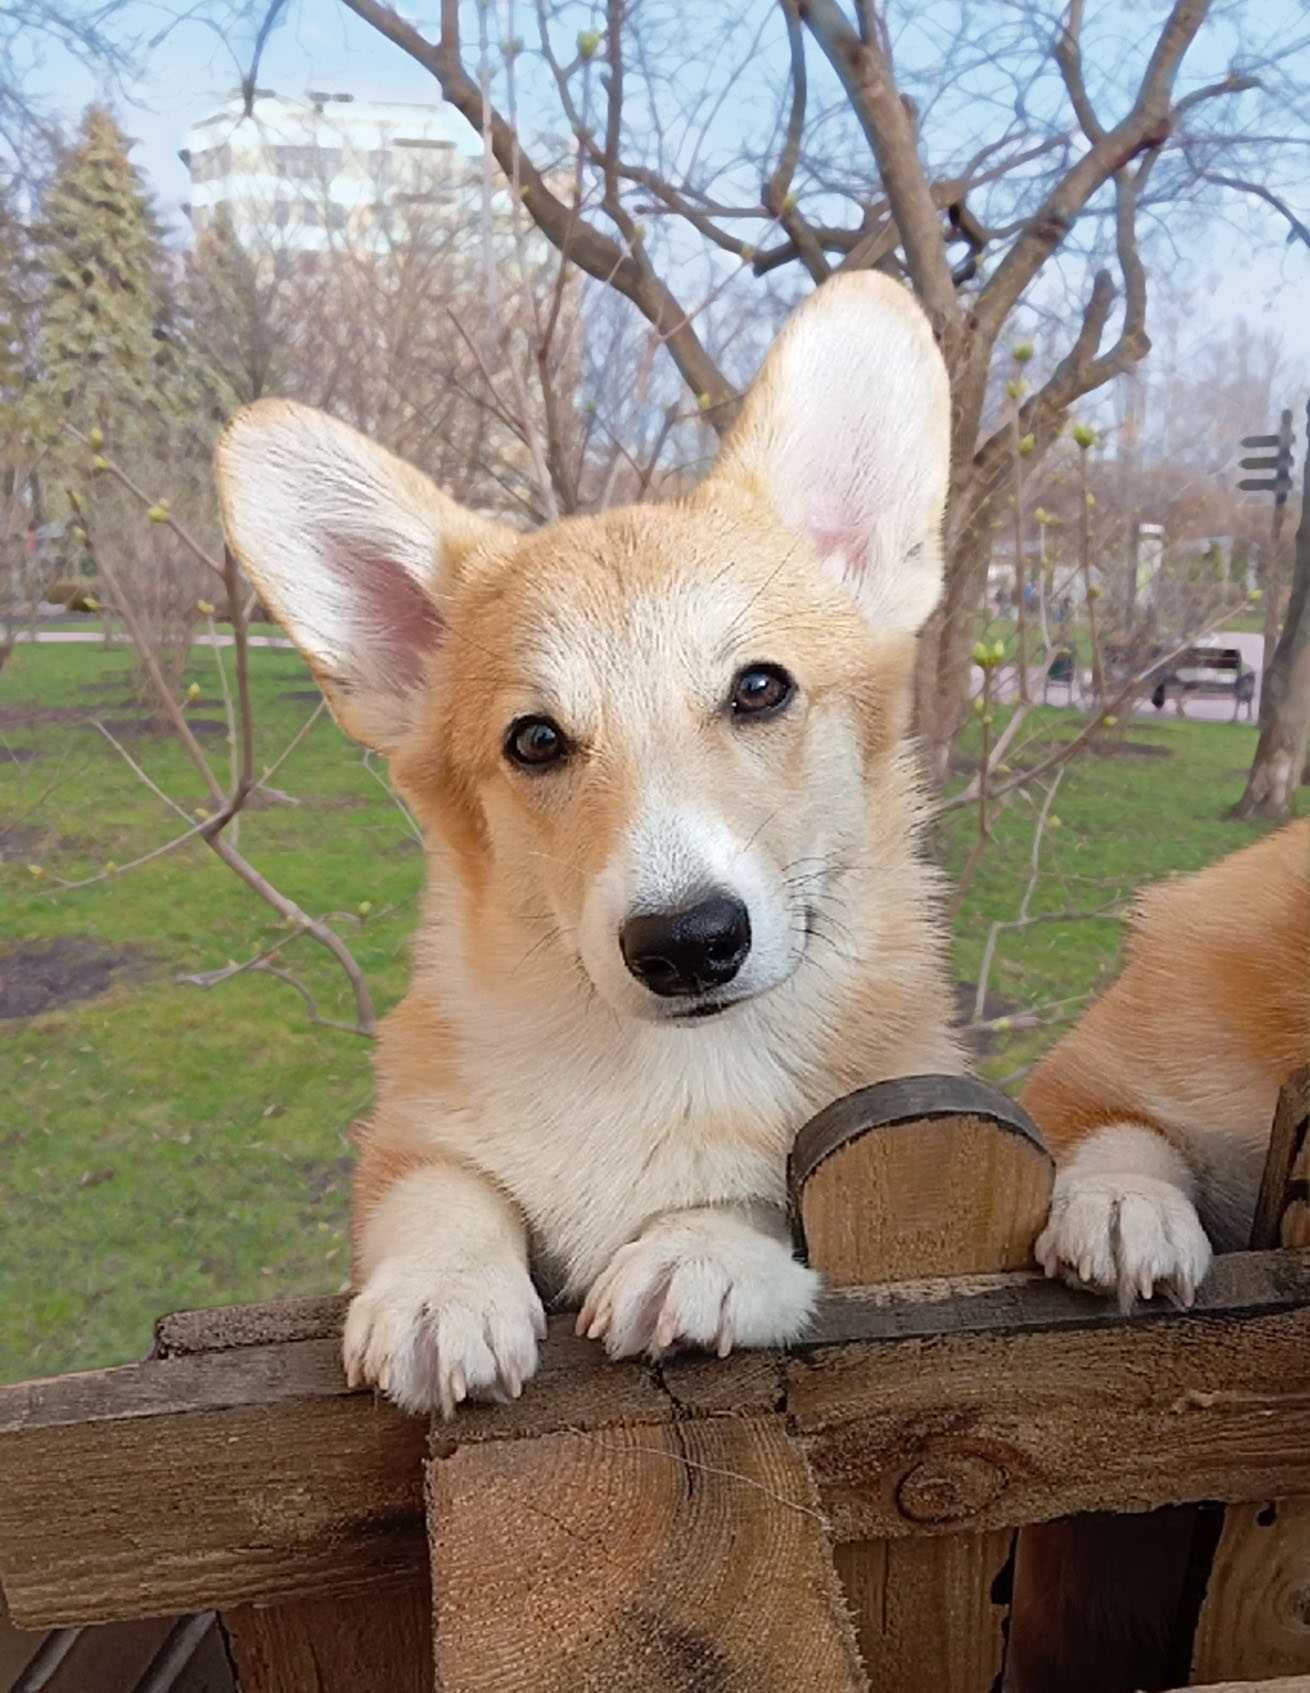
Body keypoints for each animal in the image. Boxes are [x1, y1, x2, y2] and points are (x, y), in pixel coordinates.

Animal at [215, 274, 961, 1415]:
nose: (687, 944)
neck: (652, 1069)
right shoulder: (408, 1135)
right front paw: (442, 1291)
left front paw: (699, 1251)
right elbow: (443, 1185)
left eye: (759, 688)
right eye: (534, 740)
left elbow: (762, 1193)